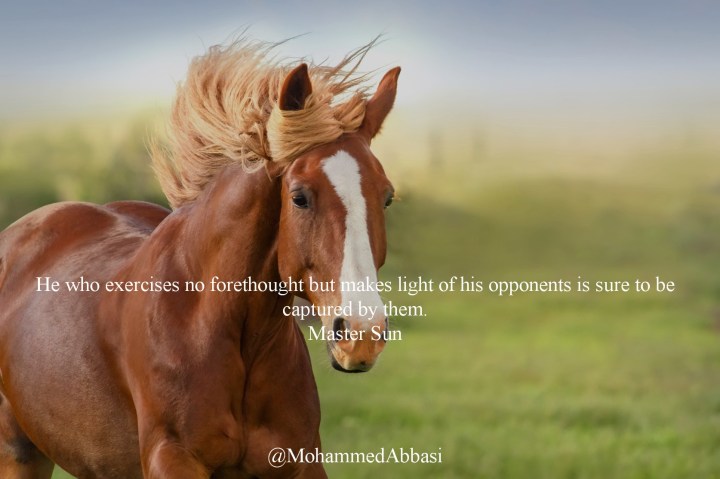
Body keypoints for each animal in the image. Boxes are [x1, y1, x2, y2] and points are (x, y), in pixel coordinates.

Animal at [0, 39, 400, 478]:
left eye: (387, 197)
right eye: (299, 197)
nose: (362, 336)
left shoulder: (301, 462)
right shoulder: (172, 458)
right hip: (19, 453)